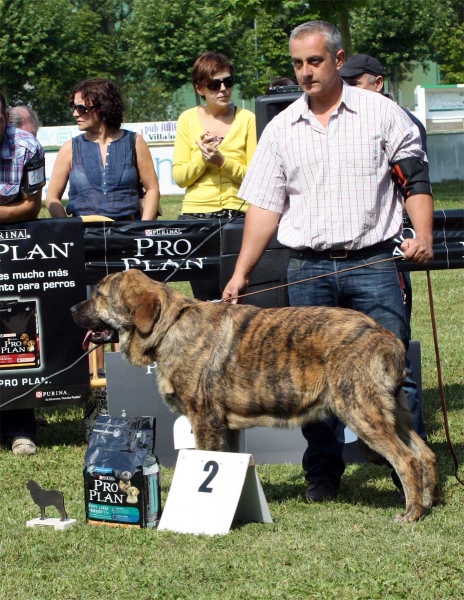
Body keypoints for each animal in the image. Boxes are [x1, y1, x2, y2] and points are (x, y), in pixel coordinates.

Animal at [71, 268, 438, 520]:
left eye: (100, 294)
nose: (73, 310)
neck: (169, 327)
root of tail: (384, 335)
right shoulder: (225, 425)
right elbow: (229, 460)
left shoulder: (204, 419)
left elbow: (208, 460)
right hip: (394, 413)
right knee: (425, 454)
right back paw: (429, 502)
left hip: (361, 412)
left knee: (406, 460)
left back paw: (411, 513)